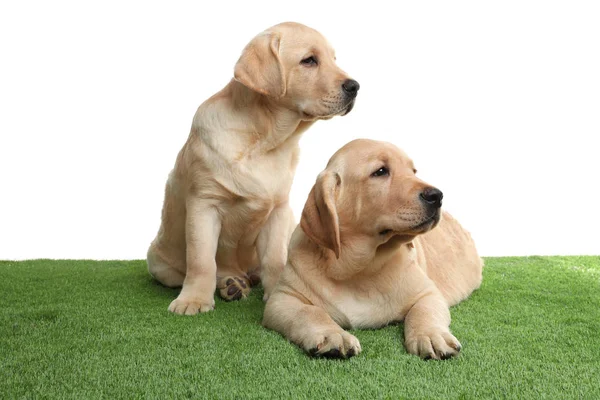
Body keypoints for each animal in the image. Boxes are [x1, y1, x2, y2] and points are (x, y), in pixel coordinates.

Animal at [147, 21, 358, 316]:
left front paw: (278, 290)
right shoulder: (204, 204)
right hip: (157, 260)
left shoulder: (279, 209)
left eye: (334, 59)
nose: (355, 86)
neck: (265, 140)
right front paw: (194, 300)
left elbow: (274, 258)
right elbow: (202, 260)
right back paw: (231, 284)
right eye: (309, 60)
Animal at [264, 140, 482, 360]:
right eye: (380, 171)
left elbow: (424, 311)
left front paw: (431, 335)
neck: (360, 269)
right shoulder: (281, 299)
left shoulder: (428, 293)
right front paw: (333, 334)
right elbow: (310, 312)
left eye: (413, 171)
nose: (437, 196)